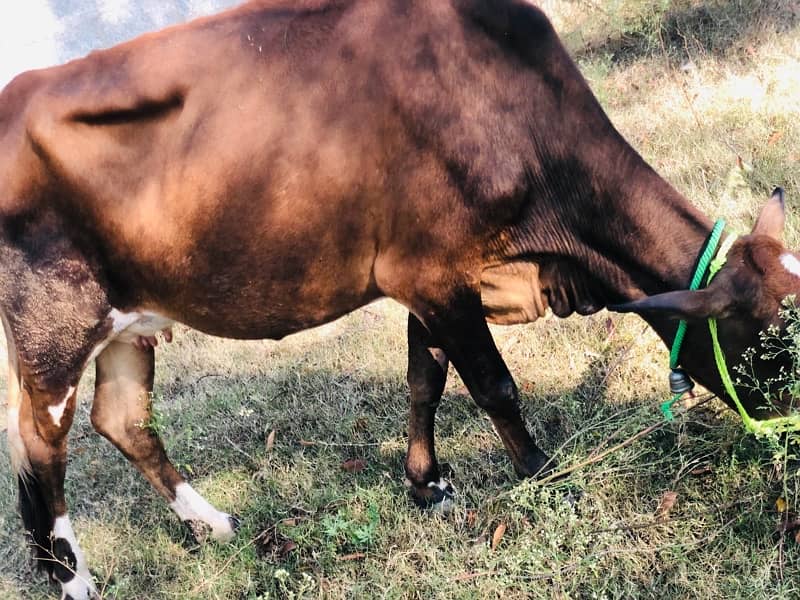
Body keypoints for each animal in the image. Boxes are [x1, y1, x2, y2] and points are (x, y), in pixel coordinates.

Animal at [0, 1, 796, 600]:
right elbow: (494, 386)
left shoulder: (437, 277)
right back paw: (73, 580)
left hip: (128, 320)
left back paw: (213, 524)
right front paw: (543, 475)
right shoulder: (433, 268)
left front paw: (429, 485)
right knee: (40, 449)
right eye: (769, 349)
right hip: (53, 327)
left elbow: (425, 379)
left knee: (123, 419)